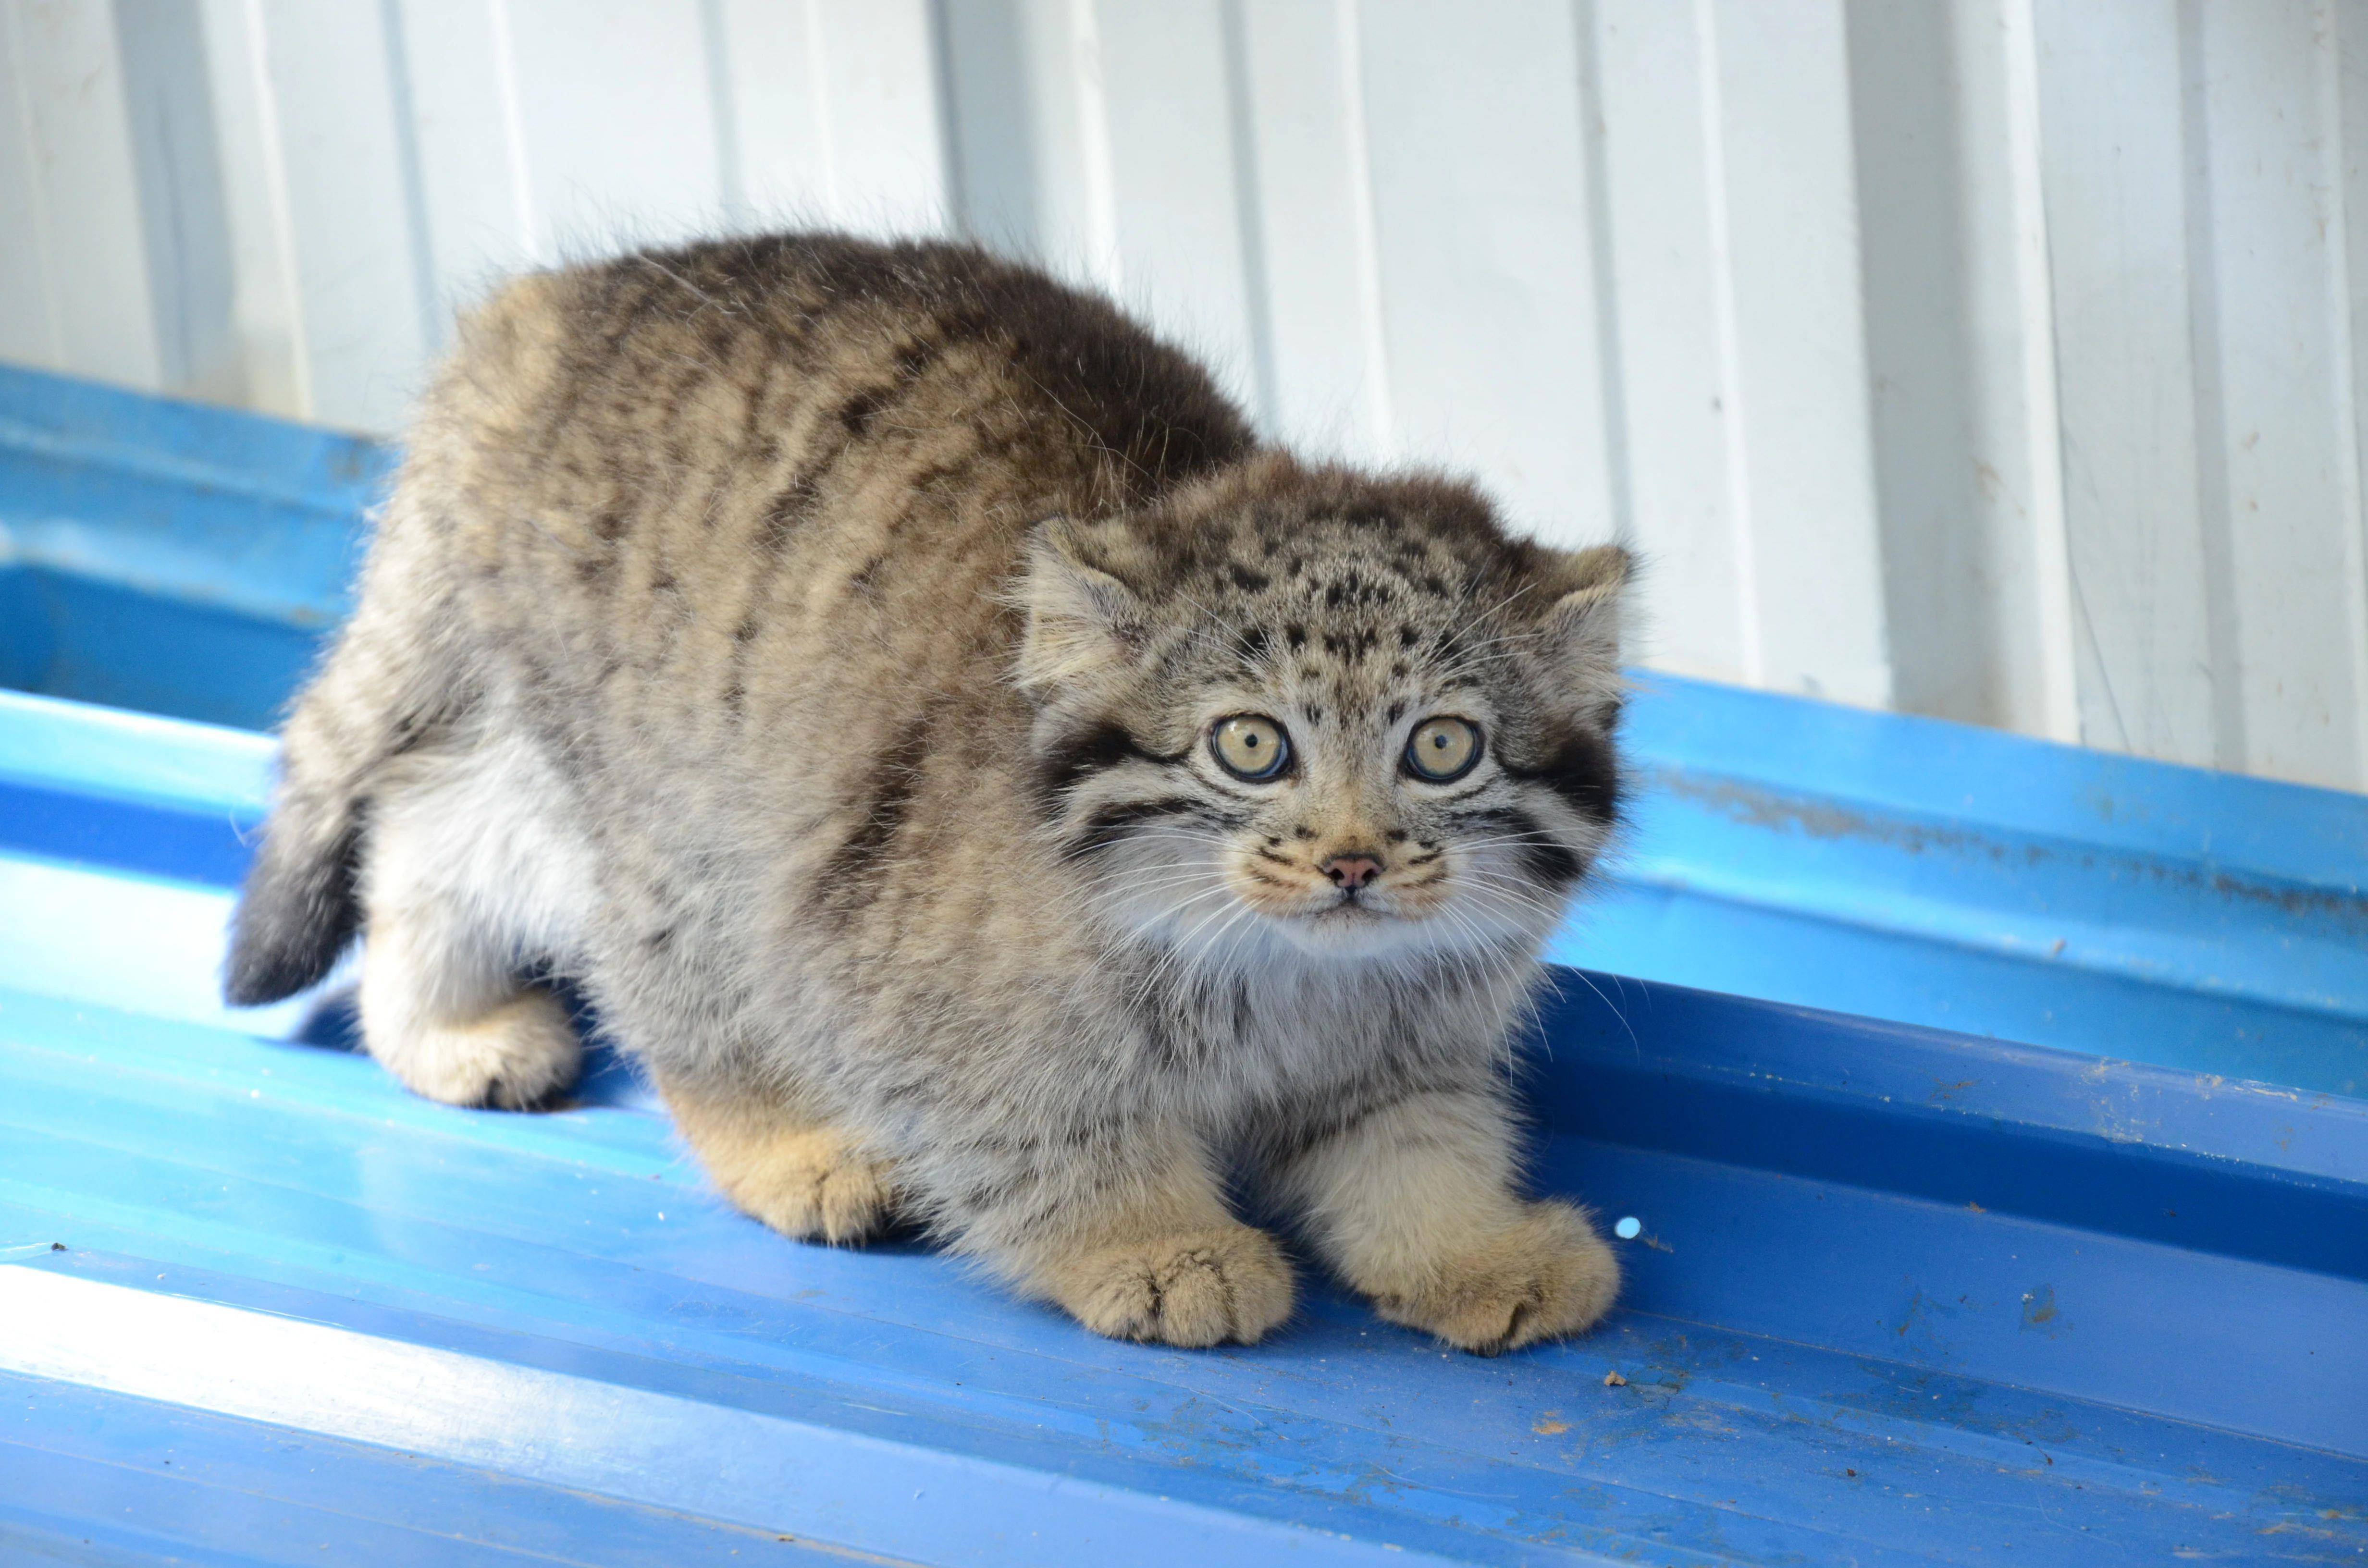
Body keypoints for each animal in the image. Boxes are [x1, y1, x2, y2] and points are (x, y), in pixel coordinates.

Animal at [226, 231, 1629, 1355]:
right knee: (663, 970)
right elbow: (1034, 1135)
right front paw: (1149, 1243)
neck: (1285, 978)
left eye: (1441, 750)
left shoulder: (1402, 1046)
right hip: (687, 803)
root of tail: (547, 311)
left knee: (435, 820)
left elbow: (1412, 1149)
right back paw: (786, 1142)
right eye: (1251, 747)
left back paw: (440, 1024)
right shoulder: (892, 971)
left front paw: (1470, 1248)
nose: (1351, 861)